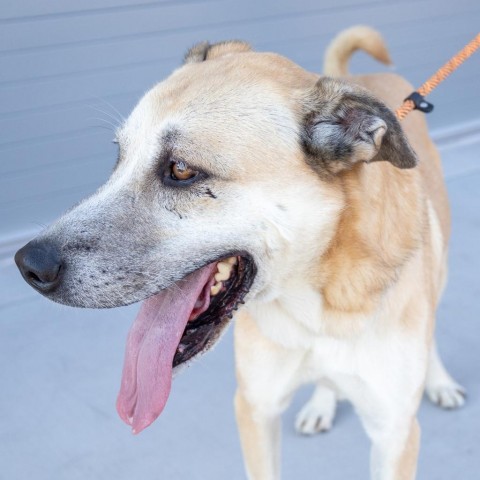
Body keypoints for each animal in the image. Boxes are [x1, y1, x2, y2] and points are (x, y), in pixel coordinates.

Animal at [15, 26, 464, 480]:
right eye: (119, 156)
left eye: (180, 170)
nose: (29, 266)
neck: (315, 309)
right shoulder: (255, 407)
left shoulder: (394, 433)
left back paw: (439, 381)